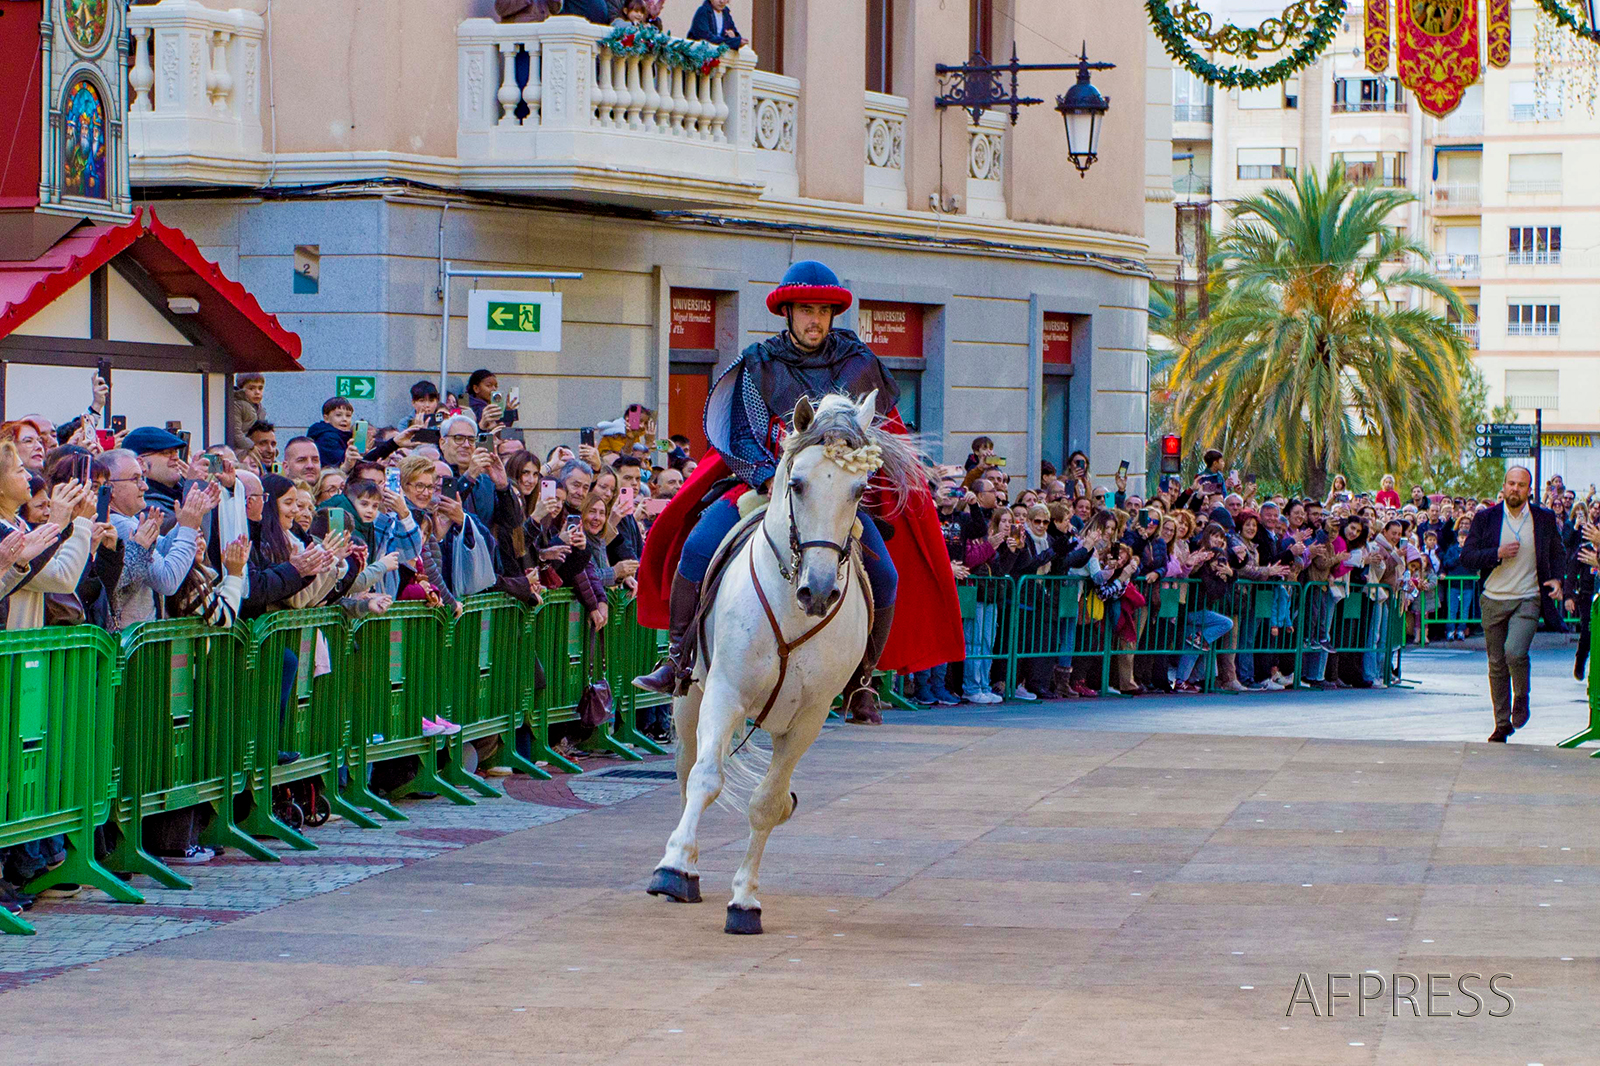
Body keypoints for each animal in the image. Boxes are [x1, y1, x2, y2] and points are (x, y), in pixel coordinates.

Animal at [636, 390, 915, 928]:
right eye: (798, 482)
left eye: (859, 489)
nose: (819, 591)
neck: (791, 612)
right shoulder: (723, 693)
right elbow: (705, 777)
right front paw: (673, 869)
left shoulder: (808, 717)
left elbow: (767, 803)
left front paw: (745, 901)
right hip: (690, 695)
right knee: (686, 769)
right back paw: (684, 864)